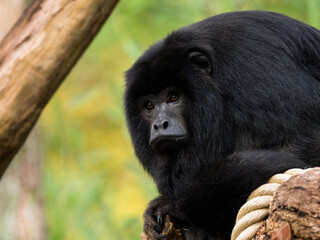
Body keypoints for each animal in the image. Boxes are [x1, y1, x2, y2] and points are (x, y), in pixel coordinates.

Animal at [123, 11, 320, 240]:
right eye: (149, 106)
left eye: (173, 97)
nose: (160, 124)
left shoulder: (251, 65)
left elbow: (307, 136)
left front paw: (173, 206)